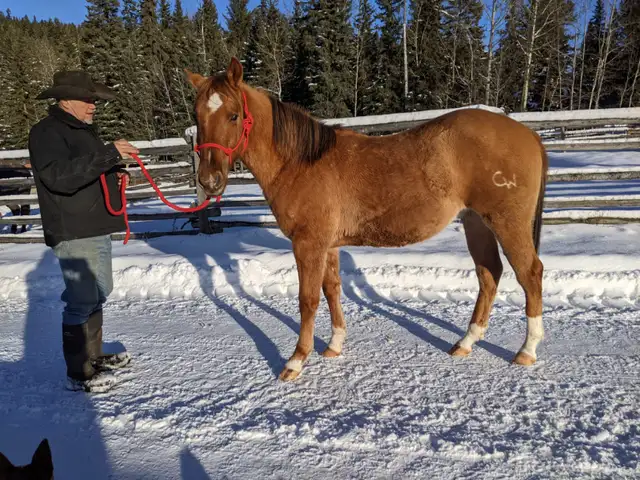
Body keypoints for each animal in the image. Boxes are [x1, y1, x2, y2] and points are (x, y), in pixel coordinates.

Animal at [185, 58, 548, 382]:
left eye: (233, 115)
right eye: (198, 117)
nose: (209, 181)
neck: (300, 163)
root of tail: (529, 134)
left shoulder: (308, 244)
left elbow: (308, 300)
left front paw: (296, 361)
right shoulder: (328, 245)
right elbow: (332, 290)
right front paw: (334, 345)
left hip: (506, 222)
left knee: (529, 273)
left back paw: (527, 350)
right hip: (476, 222)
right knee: (489, 274)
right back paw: (466, 342)